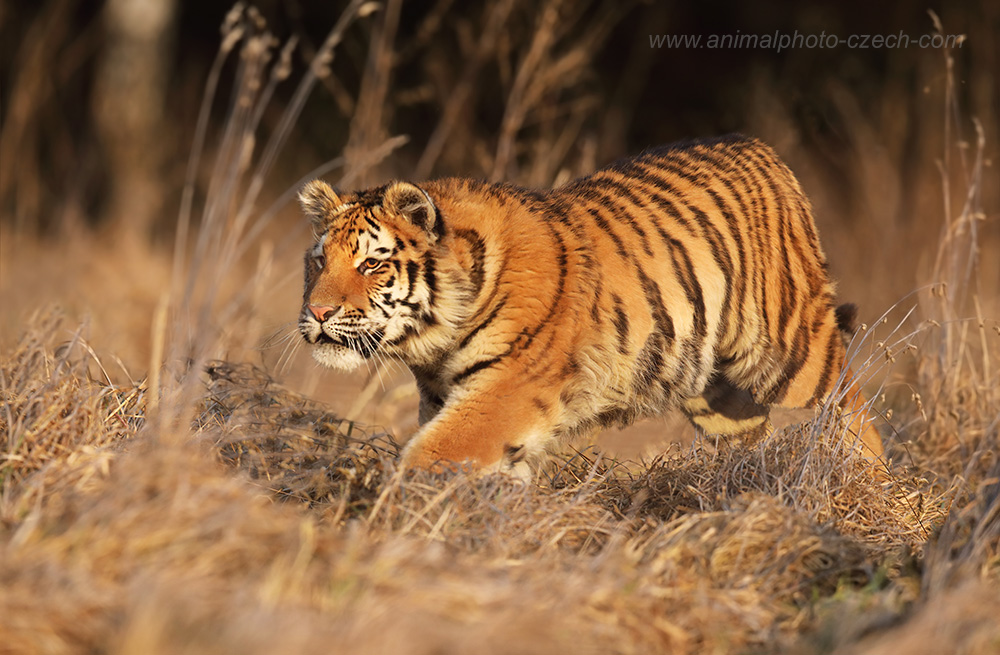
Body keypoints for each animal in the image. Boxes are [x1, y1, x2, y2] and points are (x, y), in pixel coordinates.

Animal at [296, 133, 884, 474]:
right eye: (319, 262)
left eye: (371, 265)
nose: (319, 313)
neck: (432, 341)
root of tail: (763, 148)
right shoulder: (447, 398)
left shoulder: (502, 394)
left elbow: (428, 457)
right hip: (714, 392)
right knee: (750, 437)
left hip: (789, 350)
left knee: (850, 403)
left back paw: (870, 487)